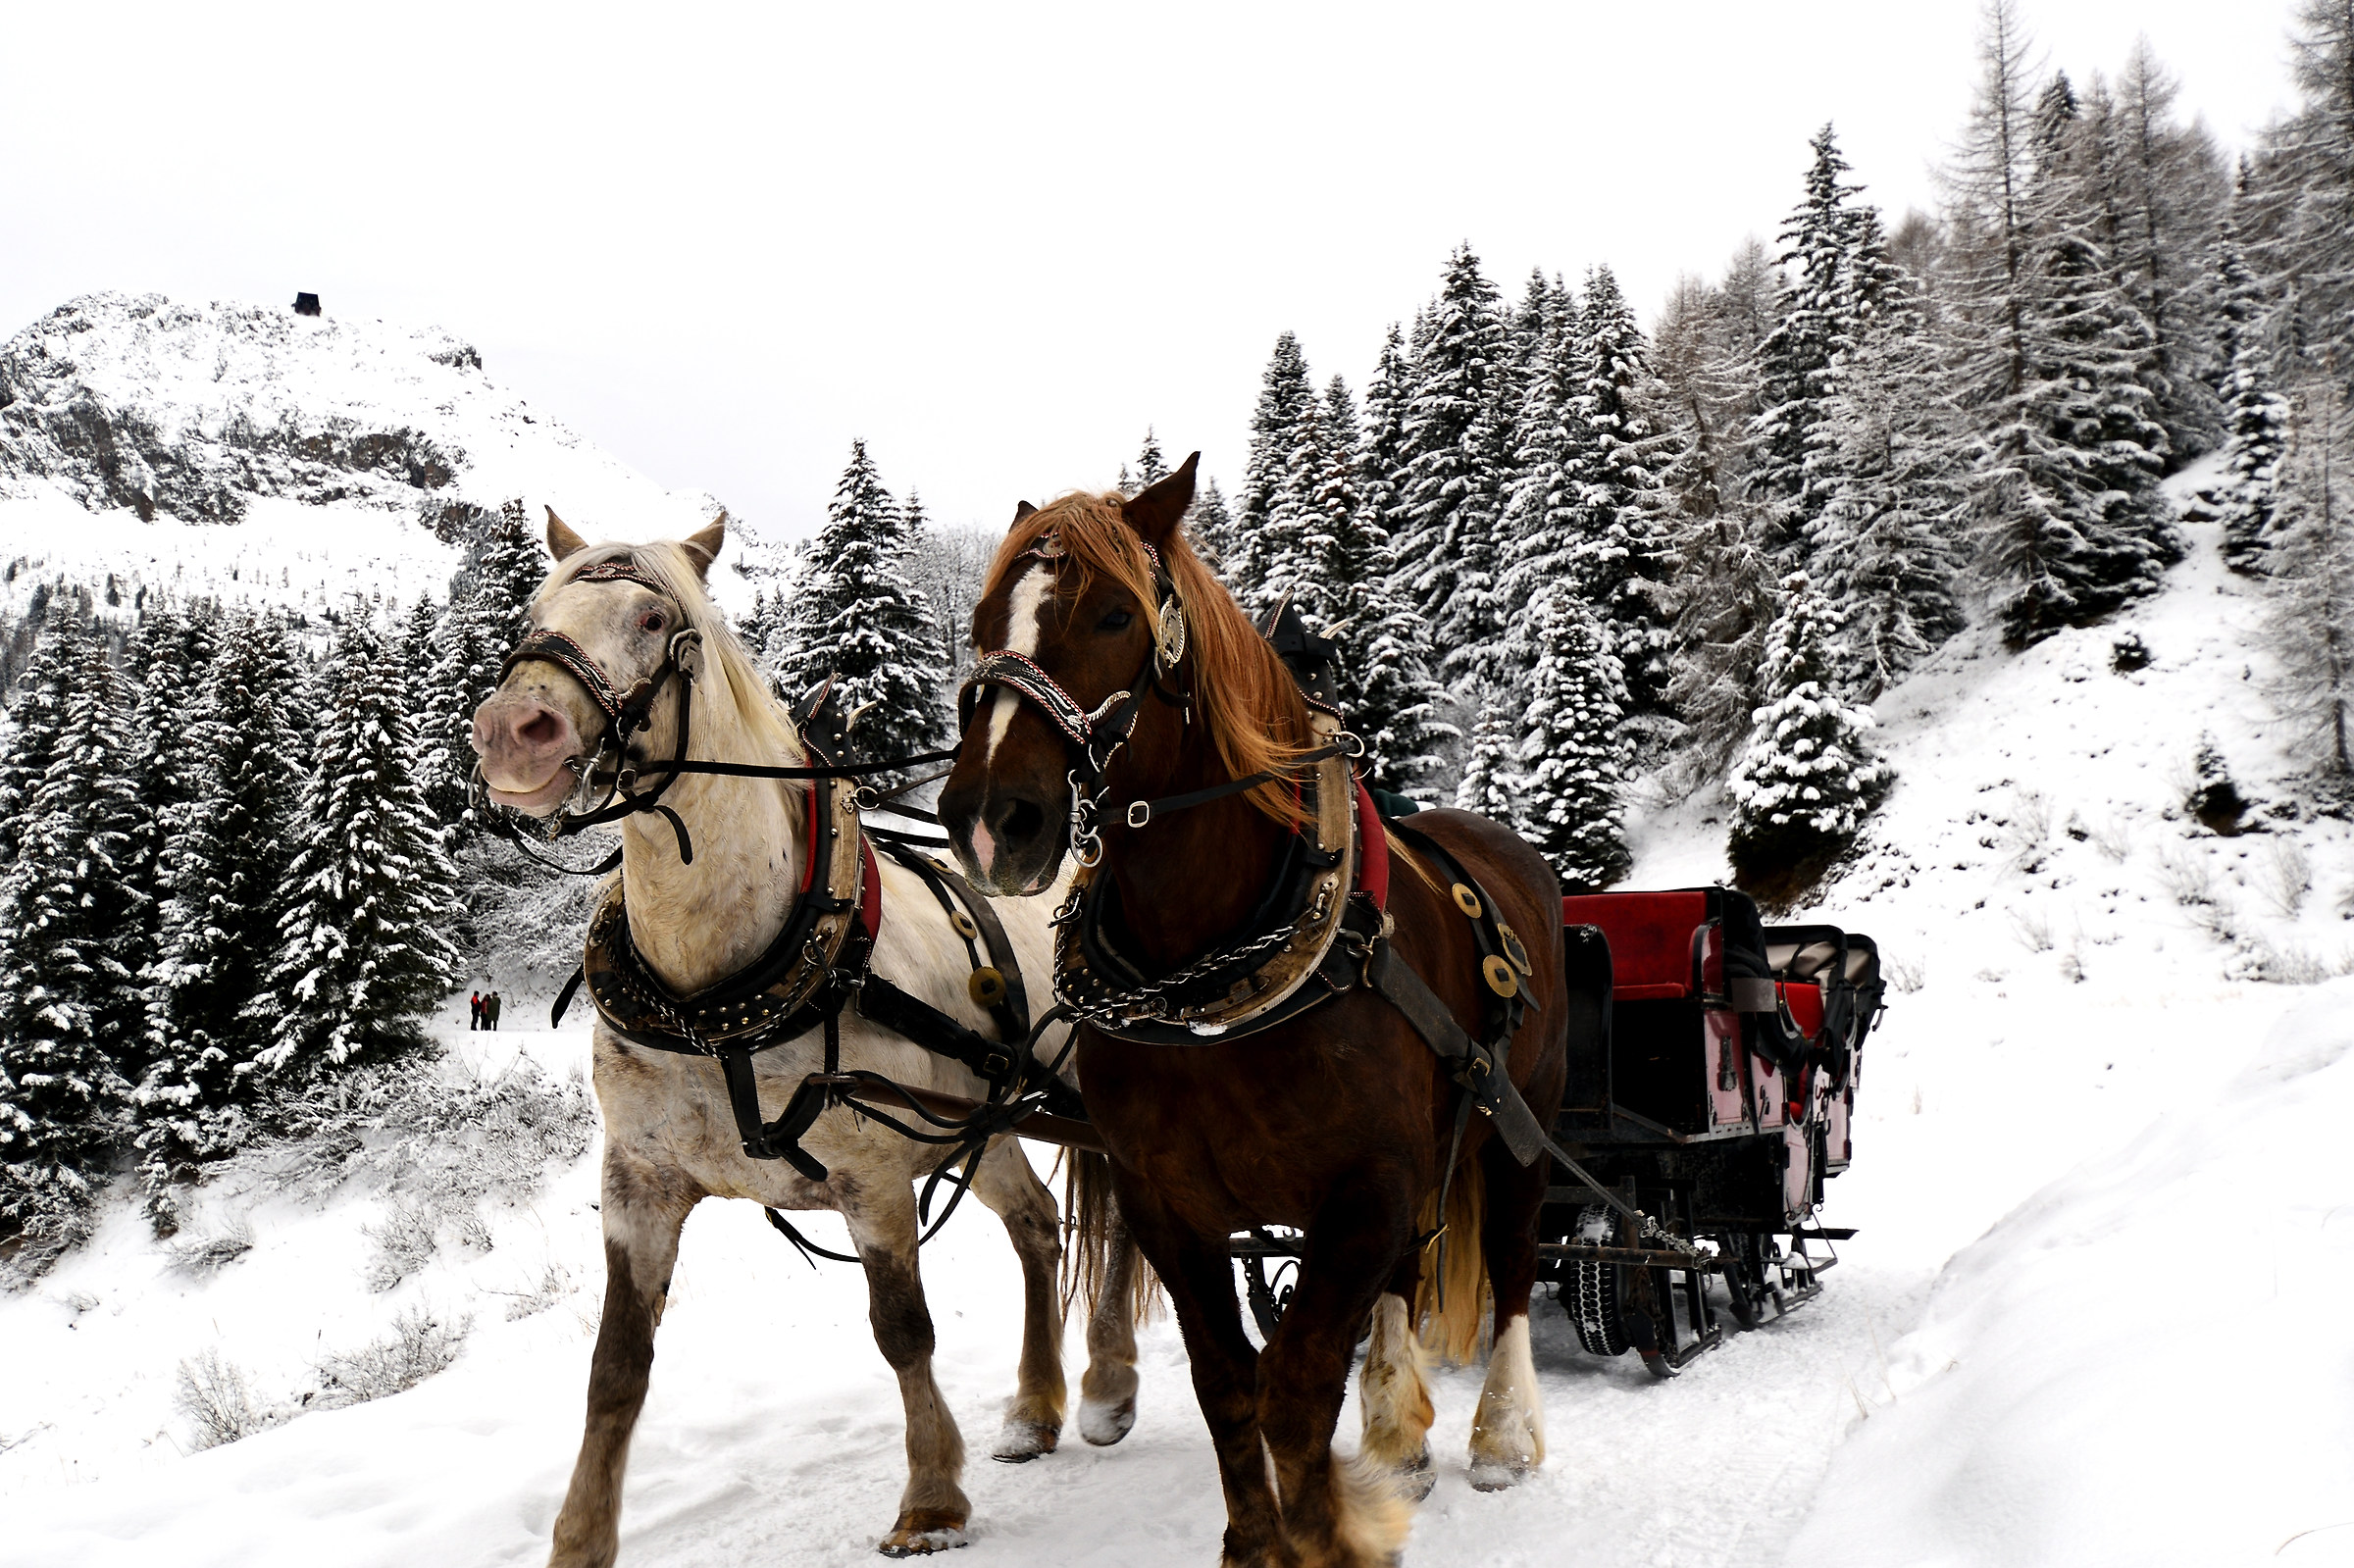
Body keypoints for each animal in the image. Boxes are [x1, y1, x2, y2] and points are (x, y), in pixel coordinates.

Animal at [471, 514, 1146, 1565]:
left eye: (653, 617)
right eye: (535, 608)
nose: (513, 731)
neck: (714, 1001)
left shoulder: (872, 1176)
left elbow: (902, 1331)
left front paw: (930, 1497)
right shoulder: (639, 1185)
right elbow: (616, 1365)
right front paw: (580, 1537)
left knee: (1124, 1221)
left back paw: (1109, 1384)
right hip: (986, 1120)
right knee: (1038, 1225)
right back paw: (1034, 1409)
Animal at [936, 459, 1580, 1568]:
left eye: (1115, 614)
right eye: (982, 625)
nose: (987, 818)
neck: (1204, 977)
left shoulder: (1361, 1185)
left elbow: (1296, 1385)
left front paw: (1324, 1537)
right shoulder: (1171, 1202)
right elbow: (1230, 1385)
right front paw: (1258, 1539)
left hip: (1515, 1127)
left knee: (1510, 1267)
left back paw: (1497, 1431)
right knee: (1410, 1273)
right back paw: (1400, 1437)